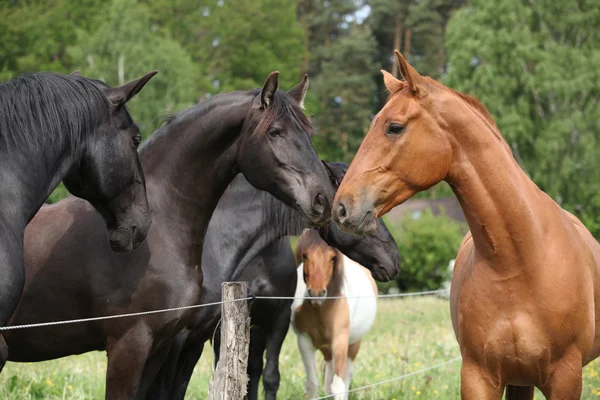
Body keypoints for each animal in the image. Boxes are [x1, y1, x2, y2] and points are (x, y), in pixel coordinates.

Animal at [290, 228, 376, 400]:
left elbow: (338, 387)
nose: (316, 293)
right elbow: (312, 386)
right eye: (305, 255)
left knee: (345, 379)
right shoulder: (304, 341)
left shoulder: (340, 342)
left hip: (353, 346)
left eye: (332, 258)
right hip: (328, 352)